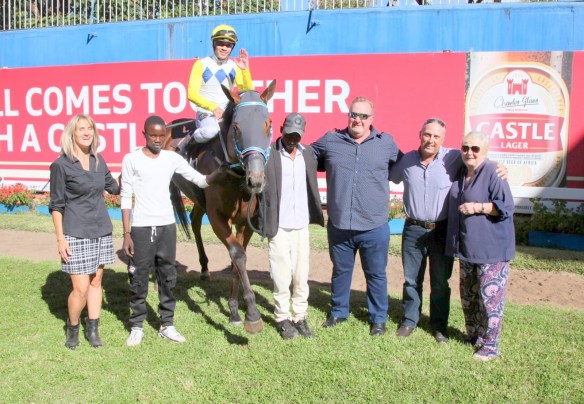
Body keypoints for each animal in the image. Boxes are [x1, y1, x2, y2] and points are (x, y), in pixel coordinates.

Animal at [165, 81, 276, 334]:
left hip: (199, 199)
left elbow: (238, 259)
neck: (235, 177)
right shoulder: (217, 217)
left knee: (195, 221)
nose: (256, 179)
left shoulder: (245, 222)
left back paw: (205, 268)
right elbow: (237, 254)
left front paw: (235, 311)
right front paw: (252, 315)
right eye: (237, 127)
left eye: (268, 124)